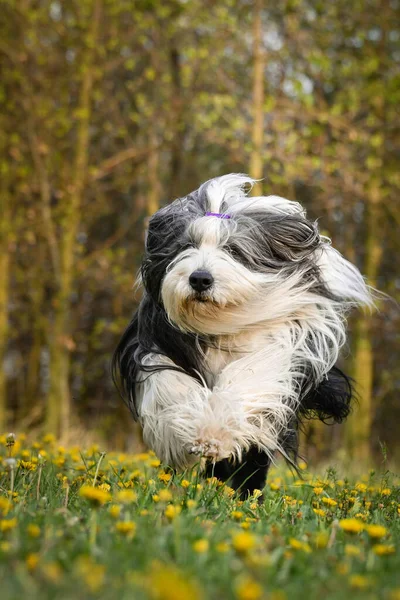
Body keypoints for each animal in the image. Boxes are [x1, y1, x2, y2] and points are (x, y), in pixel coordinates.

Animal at [111, 173, 372, 496]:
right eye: (187, 246)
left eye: (233, 250)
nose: (200, 279)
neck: (218, 322)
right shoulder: (154, 344)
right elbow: (171, 383)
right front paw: (185, 435)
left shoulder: (276, 349)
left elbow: (248, 378)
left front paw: (214, 433)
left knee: (253, 458)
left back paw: (246, 494)